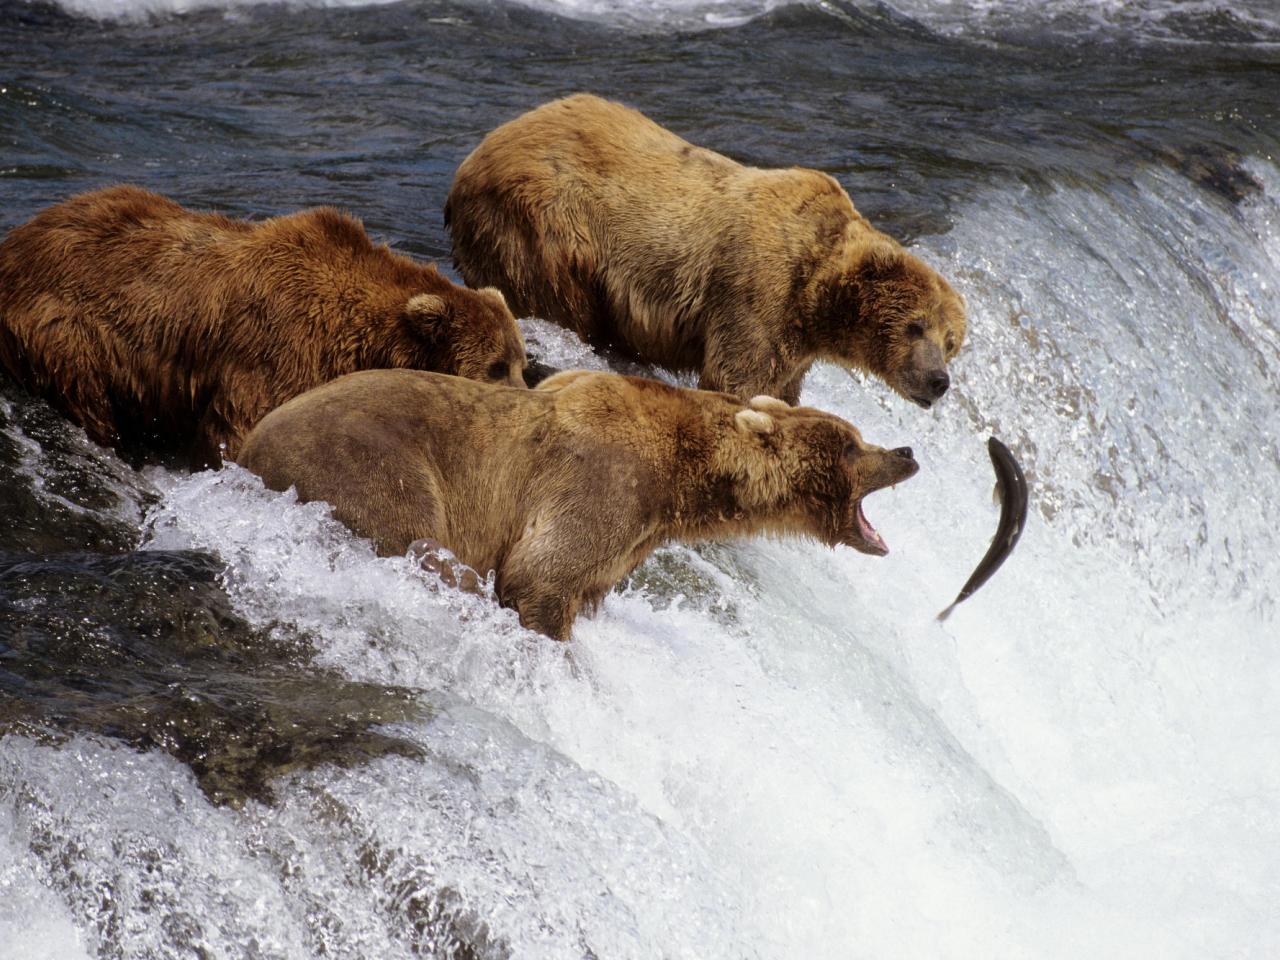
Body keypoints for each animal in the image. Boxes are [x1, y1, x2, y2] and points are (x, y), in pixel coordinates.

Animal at [0, 185, 529, 465]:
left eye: (521, 363)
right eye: (495, 367)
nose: (526, 401)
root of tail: (16, 241)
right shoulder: (276, 348)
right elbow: (239, 428)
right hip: (65, 327)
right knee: (87, 397)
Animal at [238, 371, 921, 642]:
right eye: (853, 443)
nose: (907, 451)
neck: (684, 480)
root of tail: (244, 448)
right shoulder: (602, 482)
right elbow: (540, 573)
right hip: (371, 464)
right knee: (421, 540)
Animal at [445, 96, 962, 409]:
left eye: (951, 341)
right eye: (916, 325)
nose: (939, 381)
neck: (816, 296)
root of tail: (476, 153)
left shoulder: (795, 343)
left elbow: (782, 388)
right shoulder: (757, 292)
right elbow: (738, 379)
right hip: (545, 224)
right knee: (558, 299)